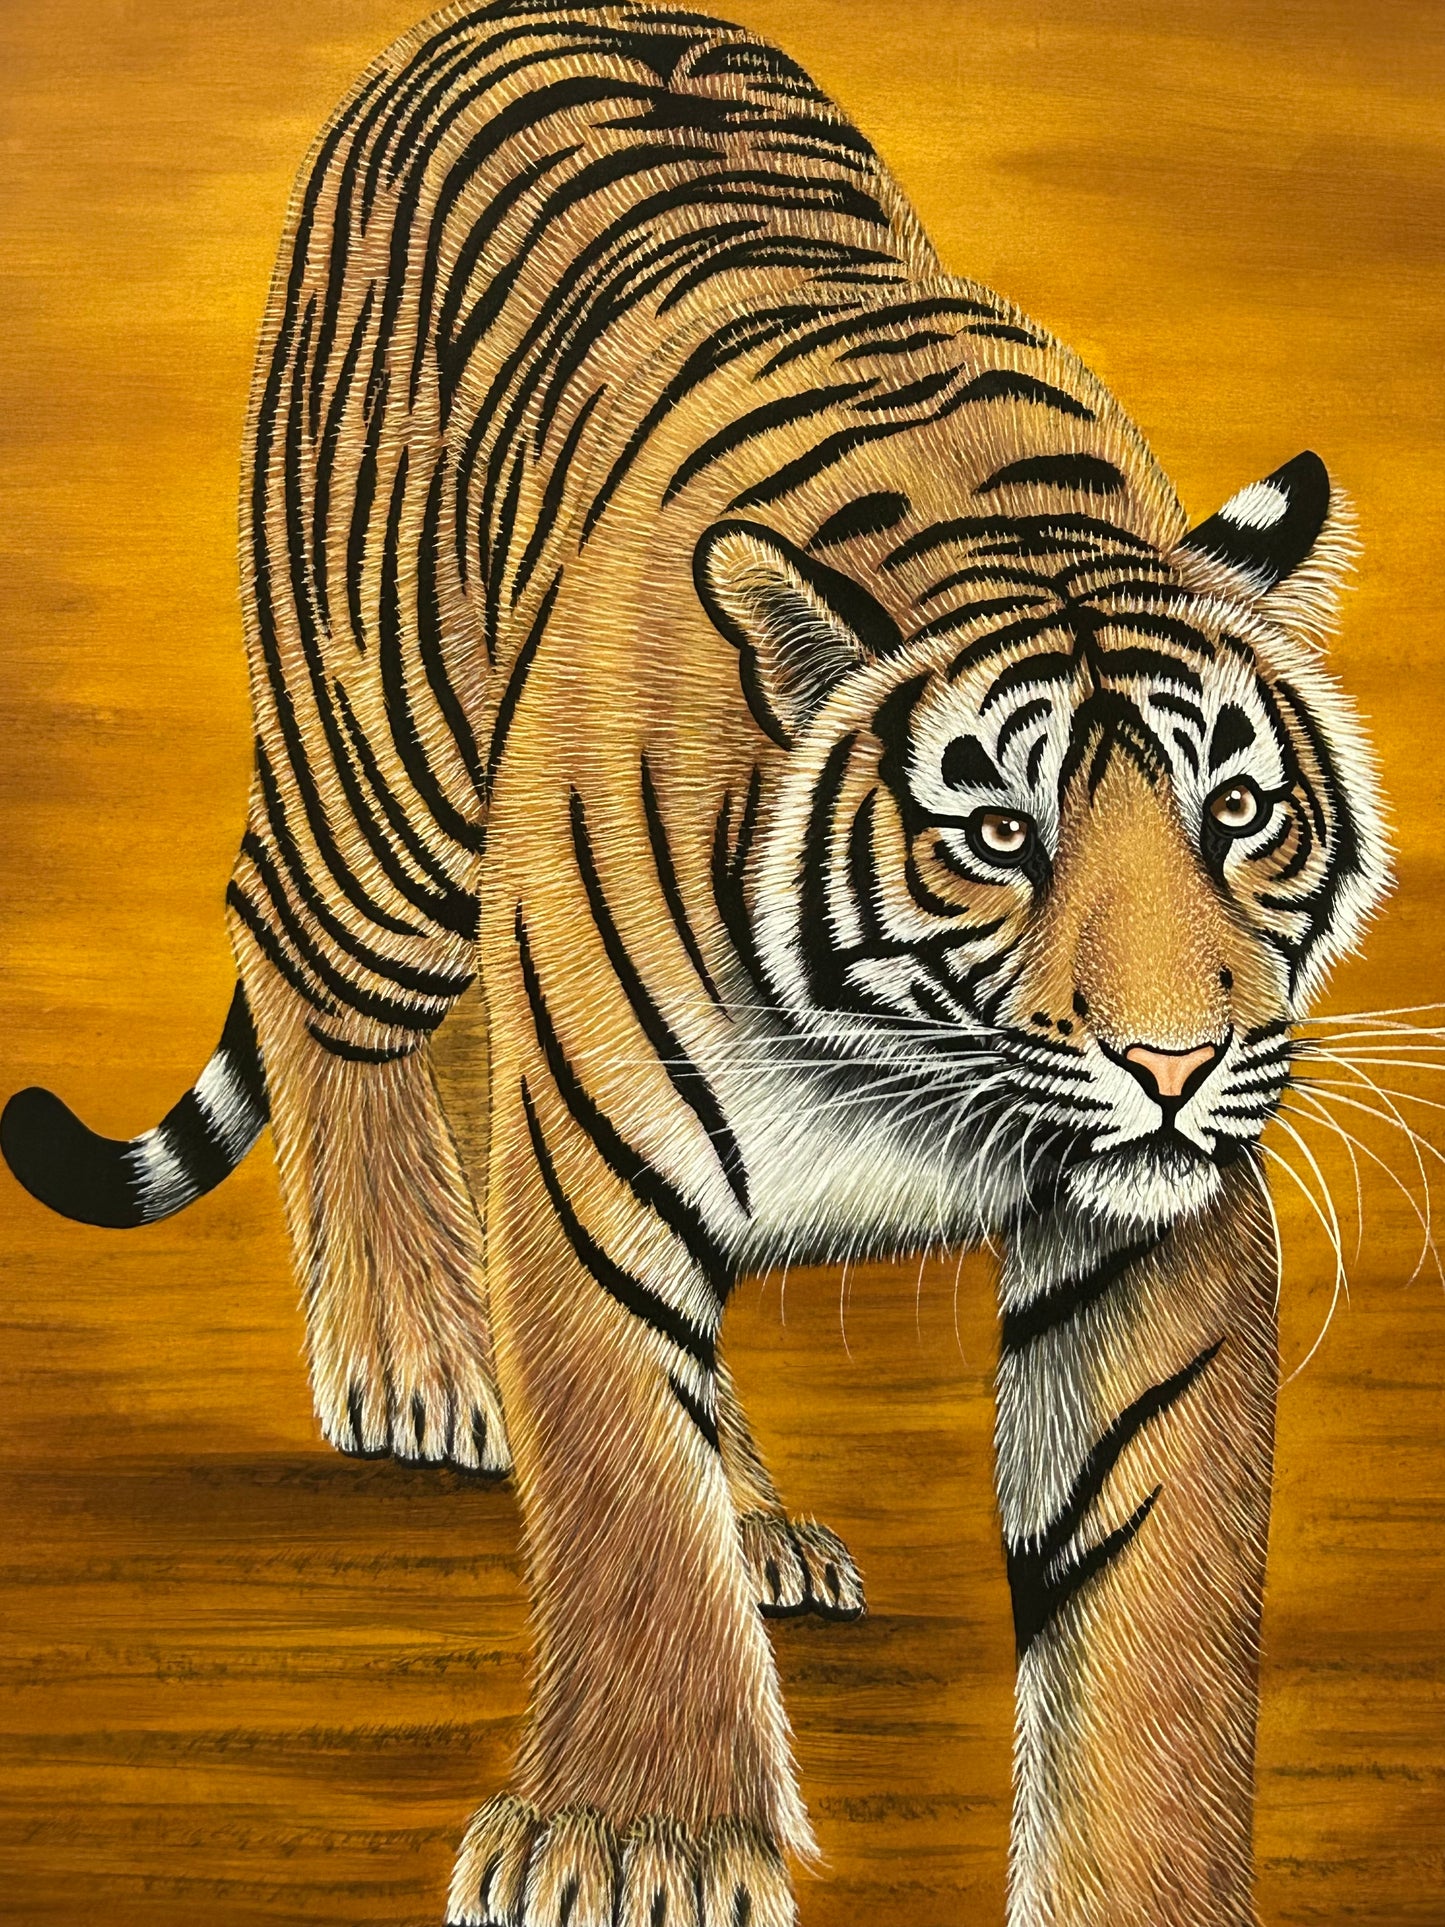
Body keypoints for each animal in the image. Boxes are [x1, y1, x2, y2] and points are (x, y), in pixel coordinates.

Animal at [0, 2, 1391, 1923]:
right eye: (995, 833)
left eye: (1238, 812)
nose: (1176, 1065)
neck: (909, 1069)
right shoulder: (594, 1150)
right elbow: (619, 1486)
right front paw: (632, 1837)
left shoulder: (1154, 1235)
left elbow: (1150, 1605)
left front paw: (1141, 1892)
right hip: (384, 770)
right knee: (301, 950)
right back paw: (419, 1359)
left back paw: (753, 1519)